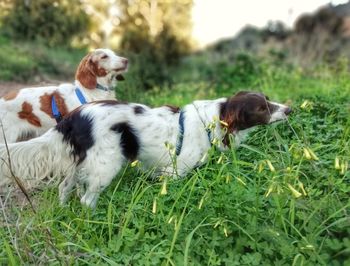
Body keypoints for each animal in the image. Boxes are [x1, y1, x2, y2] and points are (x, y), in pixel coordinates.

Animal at [0, 91, 290, 208]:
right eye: (262, 108)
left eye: (269, 100)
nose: (289, 109)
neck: (211, 120)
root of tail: (72, 117)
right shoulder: (175, 172)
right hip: (106, 164)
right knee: (86, 199)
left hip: (79, 163)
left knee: (64, 187)